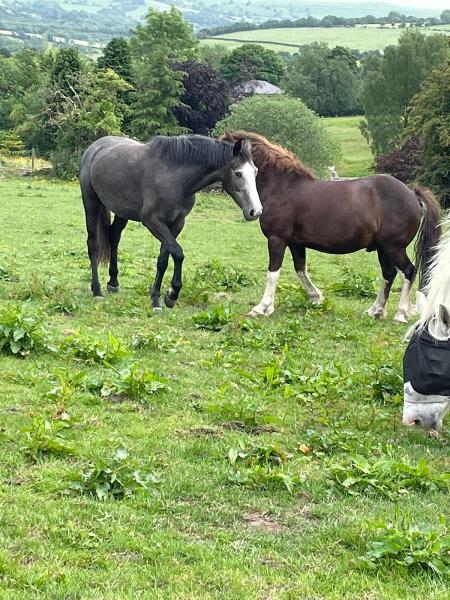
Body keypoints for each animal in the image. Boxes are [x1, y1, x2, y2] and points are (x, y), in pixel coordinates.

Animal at [79, 134, 262, 312]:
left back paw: (113, 282)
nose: (256, 211)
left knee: (114, 237)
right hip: (91, 203)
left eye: (255, 172)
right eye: (238, 173)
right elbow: (178, 253)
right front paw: (172, 294)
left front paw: (158, 298)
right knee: (93, 244)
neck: (176, 179)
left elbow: (163, 260)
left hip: (121, 212)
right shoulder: (153, 222)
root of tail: (95, 147)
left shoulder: (176, 224)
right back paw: (97, 290)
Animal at [221, 131, 440, 324]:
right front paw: (316, 297)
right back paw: (375, 310)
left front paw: (263, 307)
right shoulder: (295, 243)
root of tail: (412, 194)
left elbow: (273, 273)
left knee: (408, 271)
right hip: (383, 248)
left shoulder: (277, 239)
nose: (253, 211)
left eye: (246, 171)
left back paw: (401, 313)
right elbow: (300, 269)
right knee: (389, 274)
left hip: (394, 247)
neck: (281, 188)